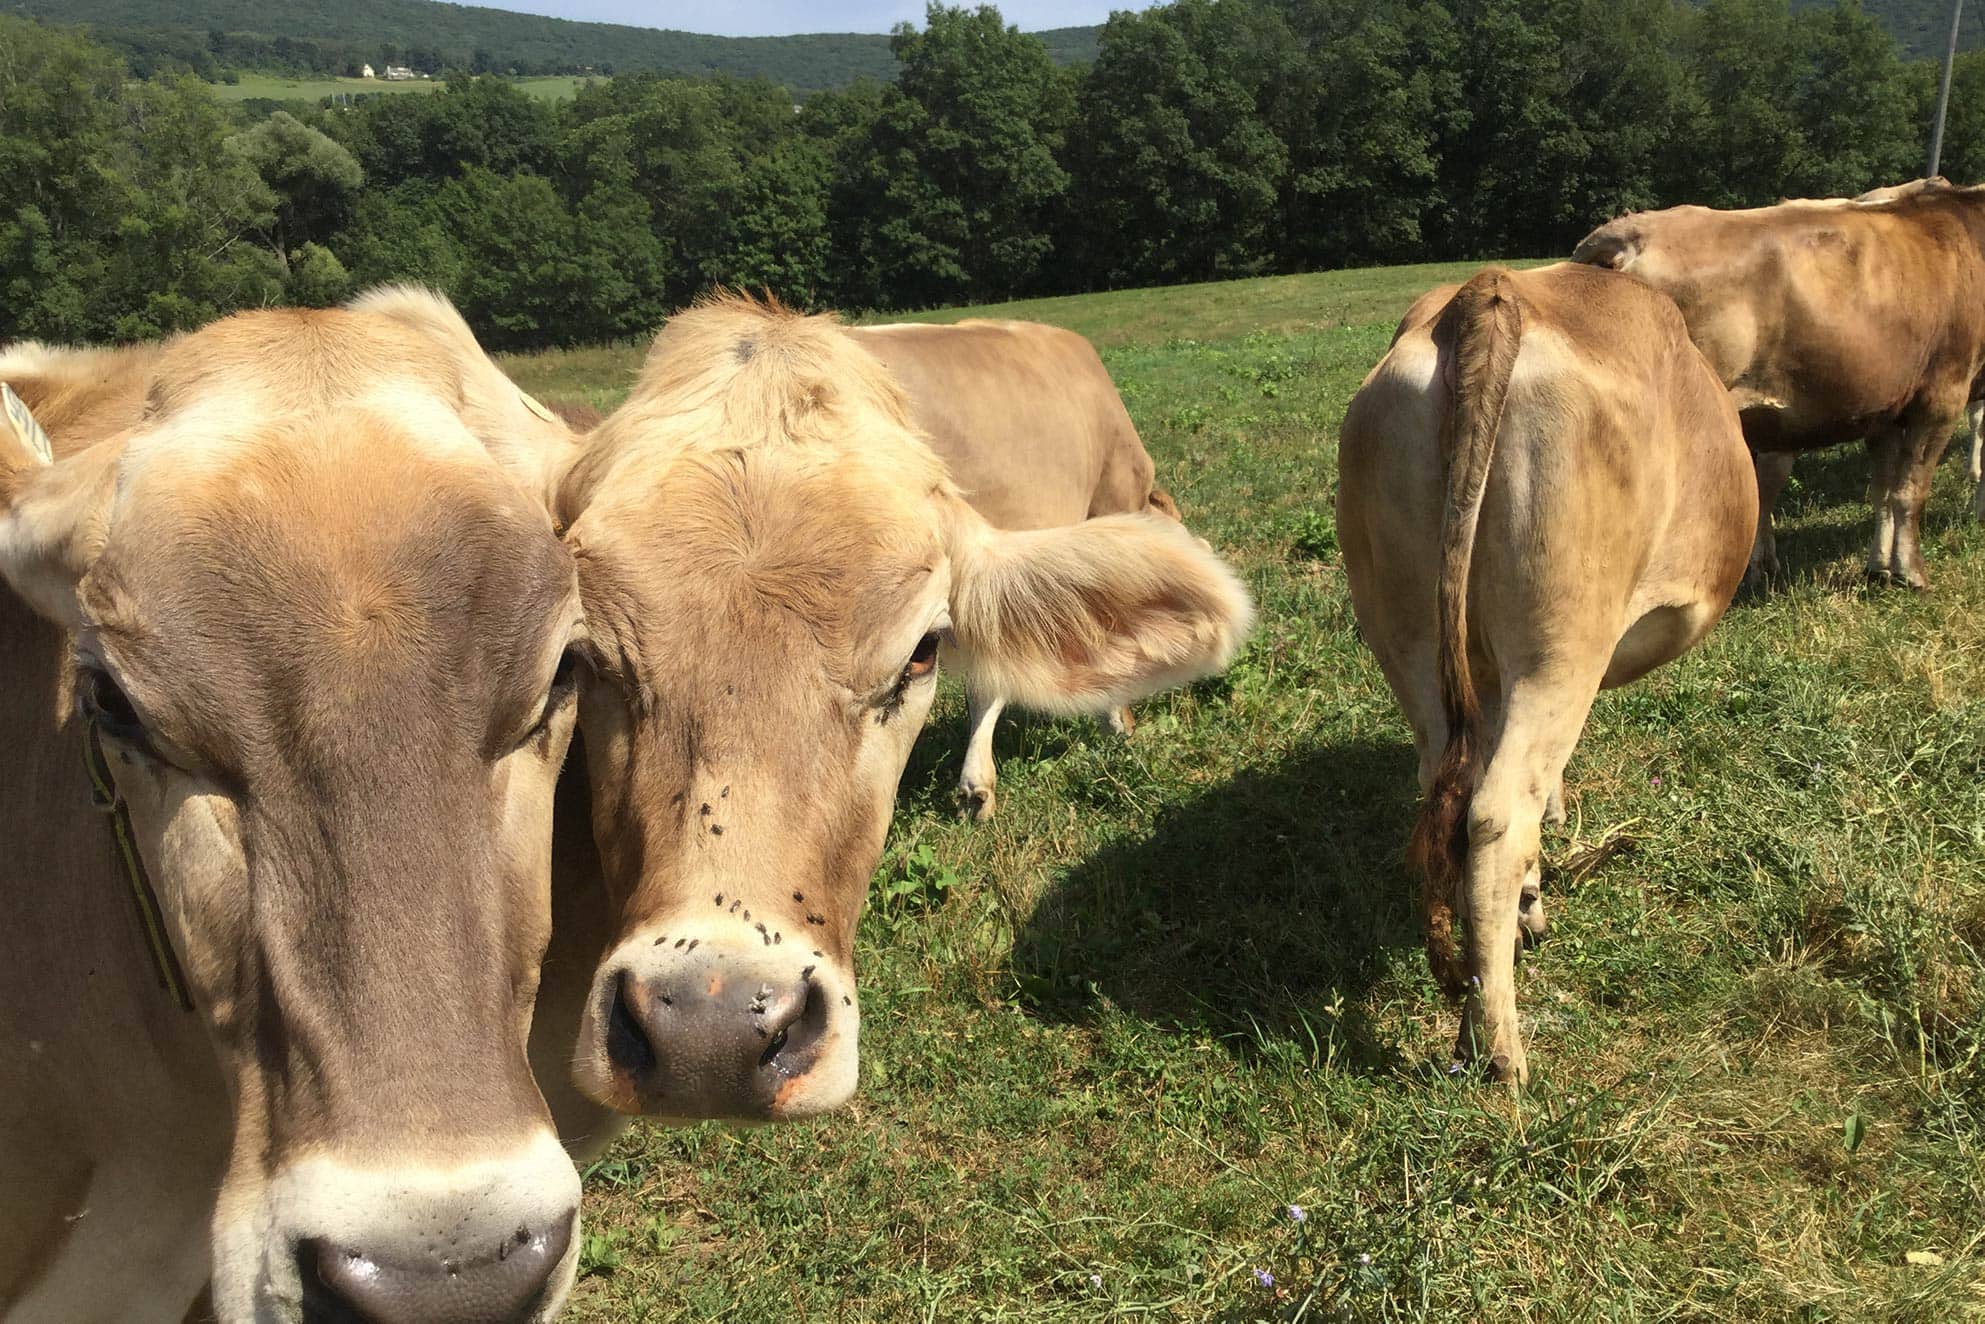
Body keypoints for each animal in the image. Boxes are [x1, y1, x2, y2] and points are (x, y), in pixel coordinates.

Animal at [1333, 264, 1754, 1079]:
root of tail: (1491, 293)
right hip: (1562, 646)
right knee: (1497, 815)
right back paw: (1497, 1048)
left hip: (1407, 632)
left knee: (1450, 790)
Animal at [1564, 187, 1985, 591]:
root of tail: (1624, 235)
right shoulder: (1943, 395)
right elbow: (1909, 491)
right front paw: (1910, 571)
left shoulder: (1883, 408)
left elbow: (1882, 491)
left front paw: (1878, 566)